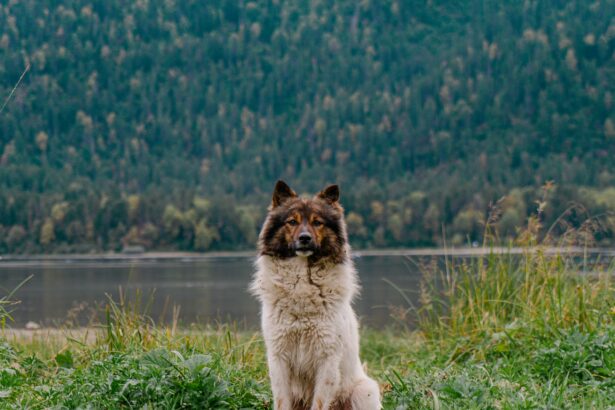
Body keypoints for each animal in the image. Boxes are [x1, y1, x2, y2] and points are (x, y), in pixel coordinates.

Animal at [250, 181, 380, 410]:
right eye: (292, 221)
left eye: (317, 222)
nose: (305, 238)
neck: (302, 284)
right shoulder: (278, 357)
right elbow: (282, 401)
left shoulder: (327, 359)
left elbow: (319, 402)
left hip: (364, 392)